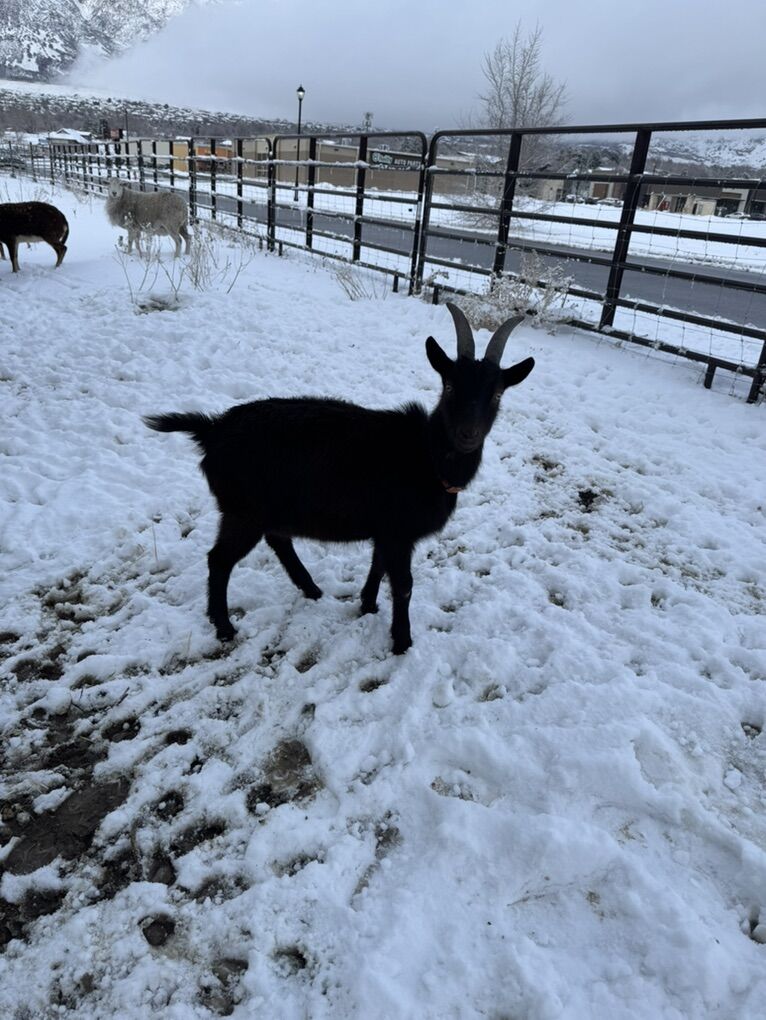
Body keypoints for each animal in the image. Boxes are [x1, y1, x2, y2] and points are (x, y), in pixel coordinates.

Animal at [144, 304, 534, 654]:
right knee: (220, 559)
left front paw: (368, 605)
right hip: (243, 511)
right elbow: (404, 584)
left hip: (265, 509)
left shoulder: (386, 530)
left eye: (497, 393)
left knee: (277, 540)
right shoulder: (398, 531)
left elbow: (378, 567)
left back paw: (311, 589)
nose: (467, 434)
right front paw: (402, 642)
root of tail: (212, 430)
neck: (427, 456)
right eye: (450, 386)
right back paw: (224, 627)